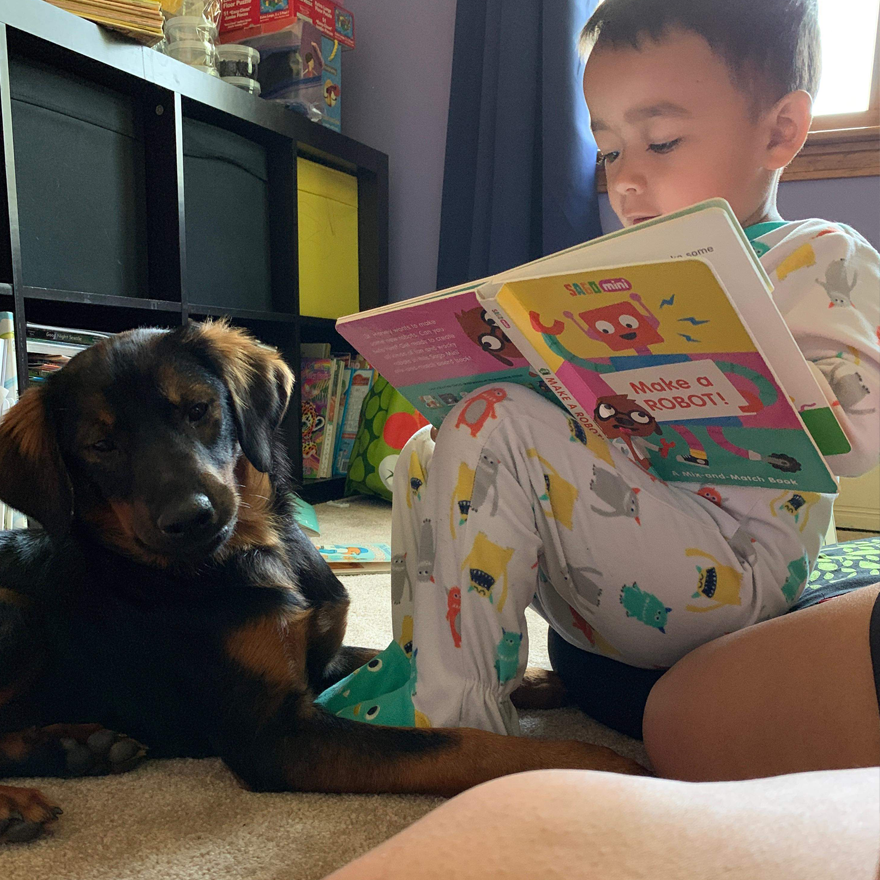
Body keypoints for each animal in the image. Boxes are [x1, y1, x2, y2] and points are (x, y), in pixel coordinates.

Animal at [0, 320, 648, 844]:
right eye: (100, 445)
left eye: (197, 409)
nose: (191, 518)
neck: (252, 553)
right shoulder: (274, 735)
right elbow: (458, 744)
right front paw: (587, 765)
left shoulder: (320, 657)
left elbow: (381, 654)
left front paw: (539, 679)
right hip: (16, 613)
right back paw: (24, 798)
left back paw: (83, 747)